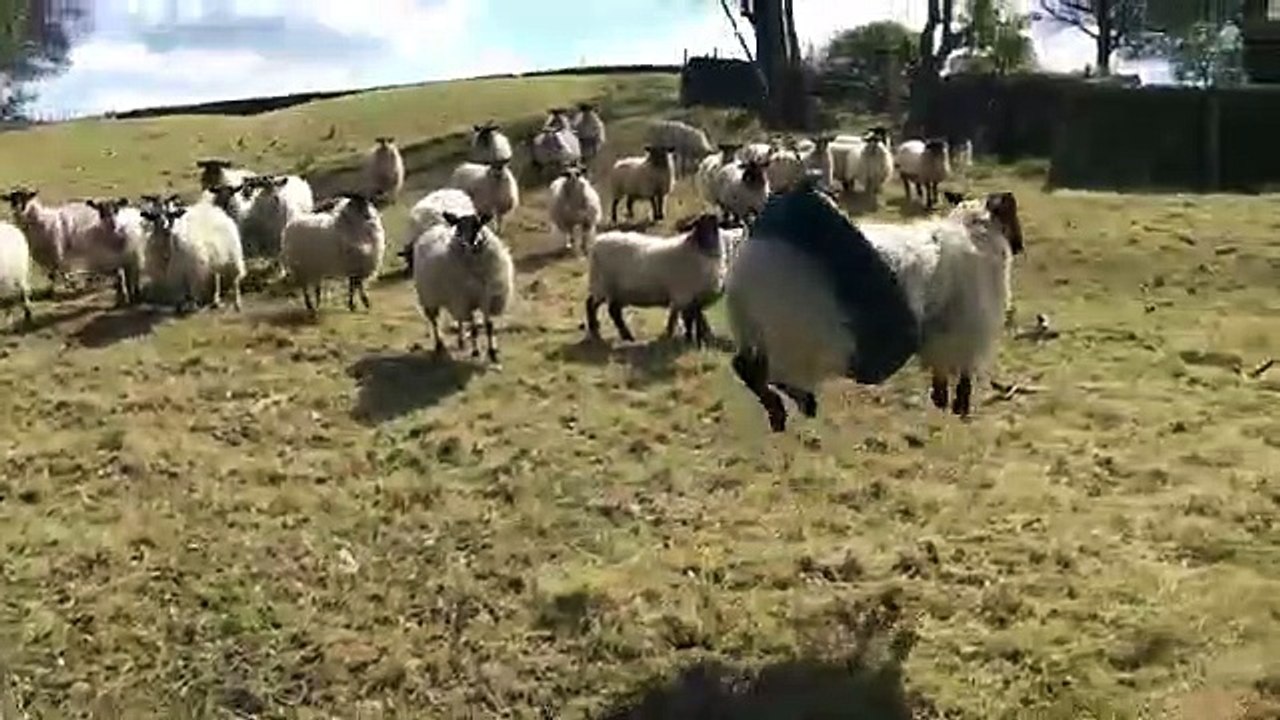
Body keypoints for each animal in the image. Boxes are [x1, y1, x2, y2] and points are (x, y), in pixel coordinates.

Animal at [412, 211, 514, 364]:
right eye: (458, 228)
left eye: (478, 225)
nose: (466, 244)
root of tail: (433, 228)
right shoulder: (465, 300)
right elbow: (474, 328)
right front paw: (476, 351)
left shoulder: (486, 297)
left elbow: (489, 326)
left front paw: (492, 353)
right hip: (430, 297)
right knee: (434, 321)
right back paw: (439, 344)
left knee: (459, 320)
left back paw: (461, 341)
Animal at [585, 213, 726, 348]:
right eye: (699, 225)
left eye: (715, 226)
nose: (709, 243)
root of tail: (598, 241)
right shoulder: (684, 295)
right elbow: (689, 320)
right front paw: (689, 339)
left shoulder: (695, 298)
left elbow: (697, 319)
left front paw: (699, 339)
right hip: (603, 284)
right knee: (593, 304)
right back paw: (602, 331)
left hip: (615, 290)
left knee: (611, 310)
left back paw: (619, 334)